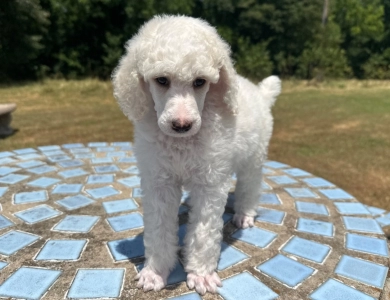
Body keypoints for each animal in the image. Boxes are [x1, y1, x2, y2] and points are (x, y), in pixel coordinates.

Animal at [112, 15, 280, 294]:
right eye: (162, 80)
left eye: (200, 82)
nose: (182, 124)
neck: (182, 143)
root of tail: (259, 93)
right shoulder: (159, 181)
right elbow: (158, 228)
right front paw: (155, 272)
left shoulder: (210, 184)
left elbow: (204, 231)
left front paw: (201, 275)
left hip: (253, 156)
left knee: (250, 185)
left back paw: (244, 214)